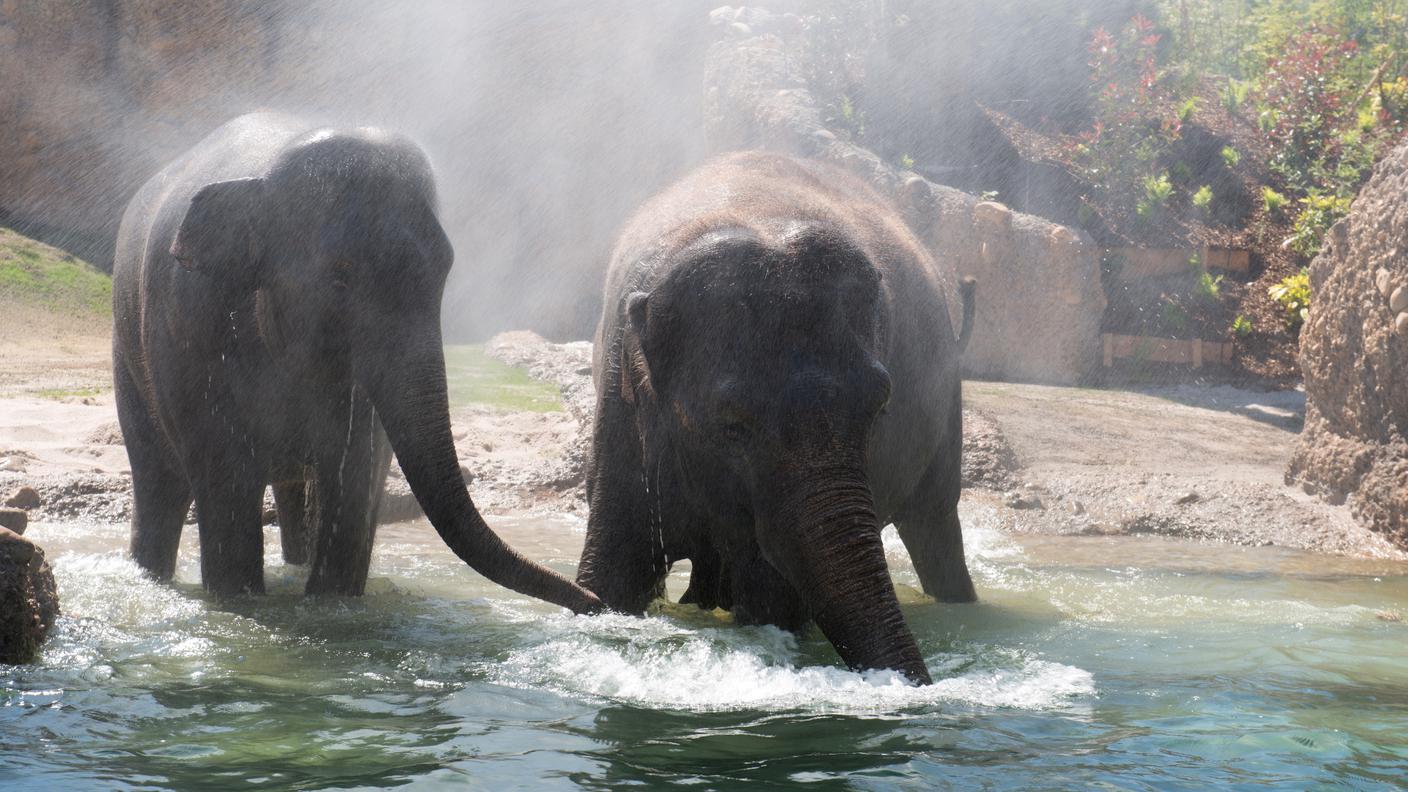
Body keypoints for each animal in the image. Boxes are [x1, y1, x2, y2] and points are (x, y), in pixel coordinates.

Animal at [105, 109, 599, 611]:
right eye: (340, 279)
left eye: (444, 271)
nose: (593, 599)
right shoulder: (190, 322)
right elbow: (227, 474)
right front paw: (241, 605)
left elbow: (355, 471)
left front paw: (330, 608)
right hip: (128, 351)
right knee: (158, 480)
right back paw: (151, 576)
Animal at [577, 150, 974, 682]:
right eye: (731, 427)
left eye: (880, 409)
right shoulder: (621, 407)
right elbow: (614, 572)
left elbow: (772, 599)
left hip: (947, 403)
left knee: (935, 524)